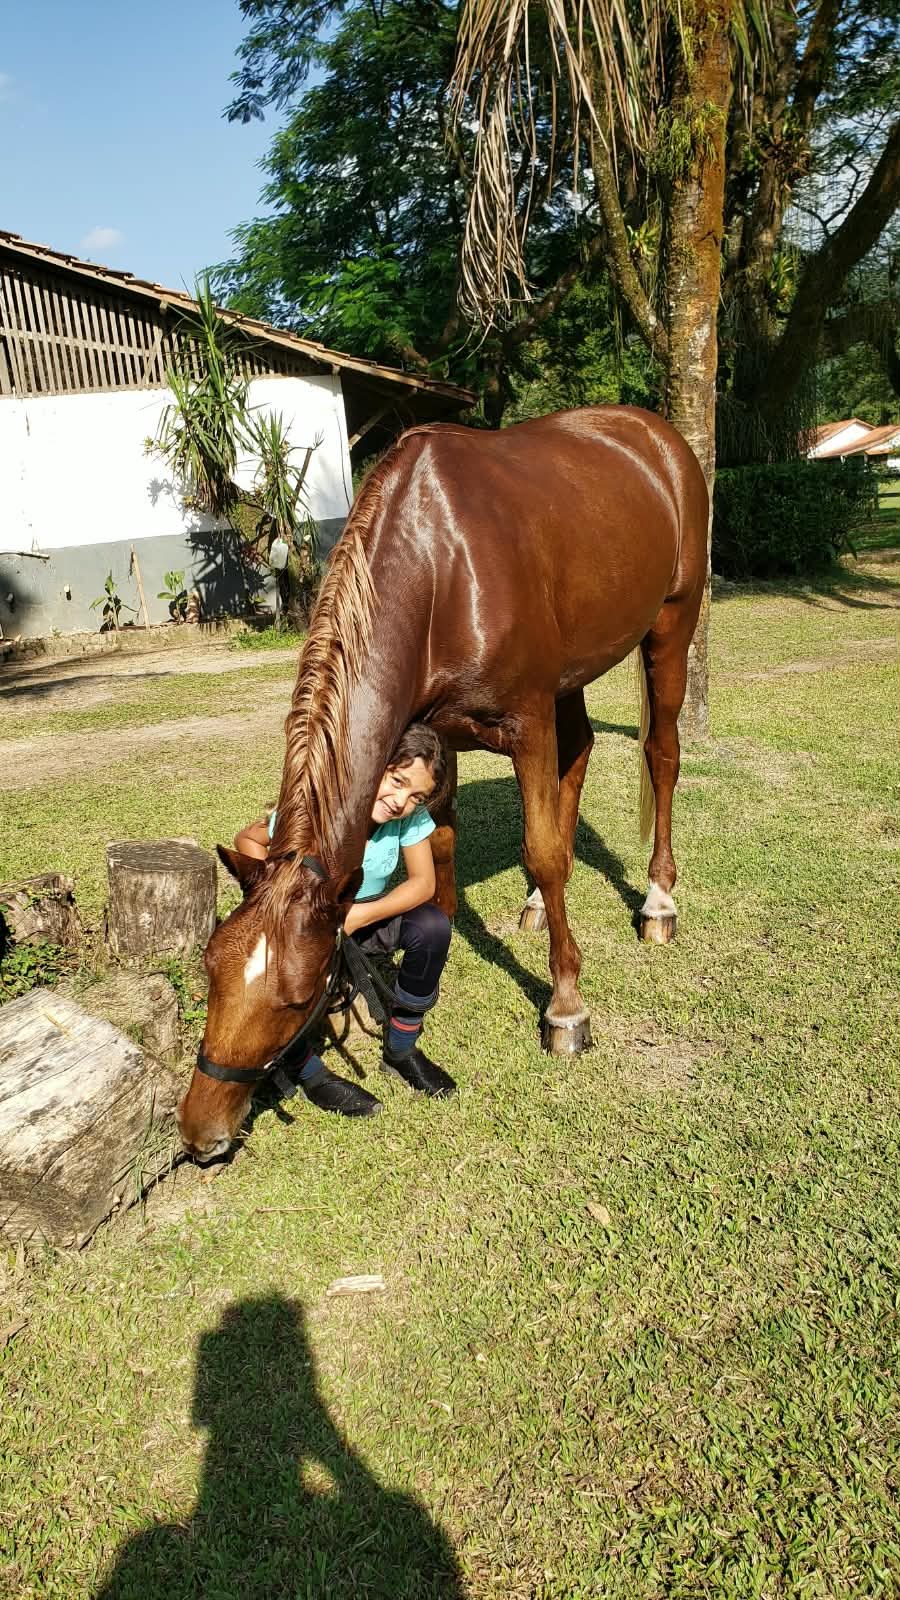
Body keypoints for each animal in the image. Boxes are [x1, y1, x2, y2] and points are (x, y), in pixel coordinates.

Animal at [178, 405, 708, 1160]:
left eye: (298, 996)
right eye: (212, 971)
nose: (201, 1132)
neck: (440, 564)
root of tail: (657, 437)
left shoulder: (525, 722)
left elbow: (543, 849)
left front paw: (566, 1006)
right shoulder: (438, 732)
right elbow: (447, 845)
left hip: (671, 623)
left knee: (661, 754)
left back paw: (659, 900)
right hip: (573, 675)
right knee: (579, 754)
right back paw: (539, 907)